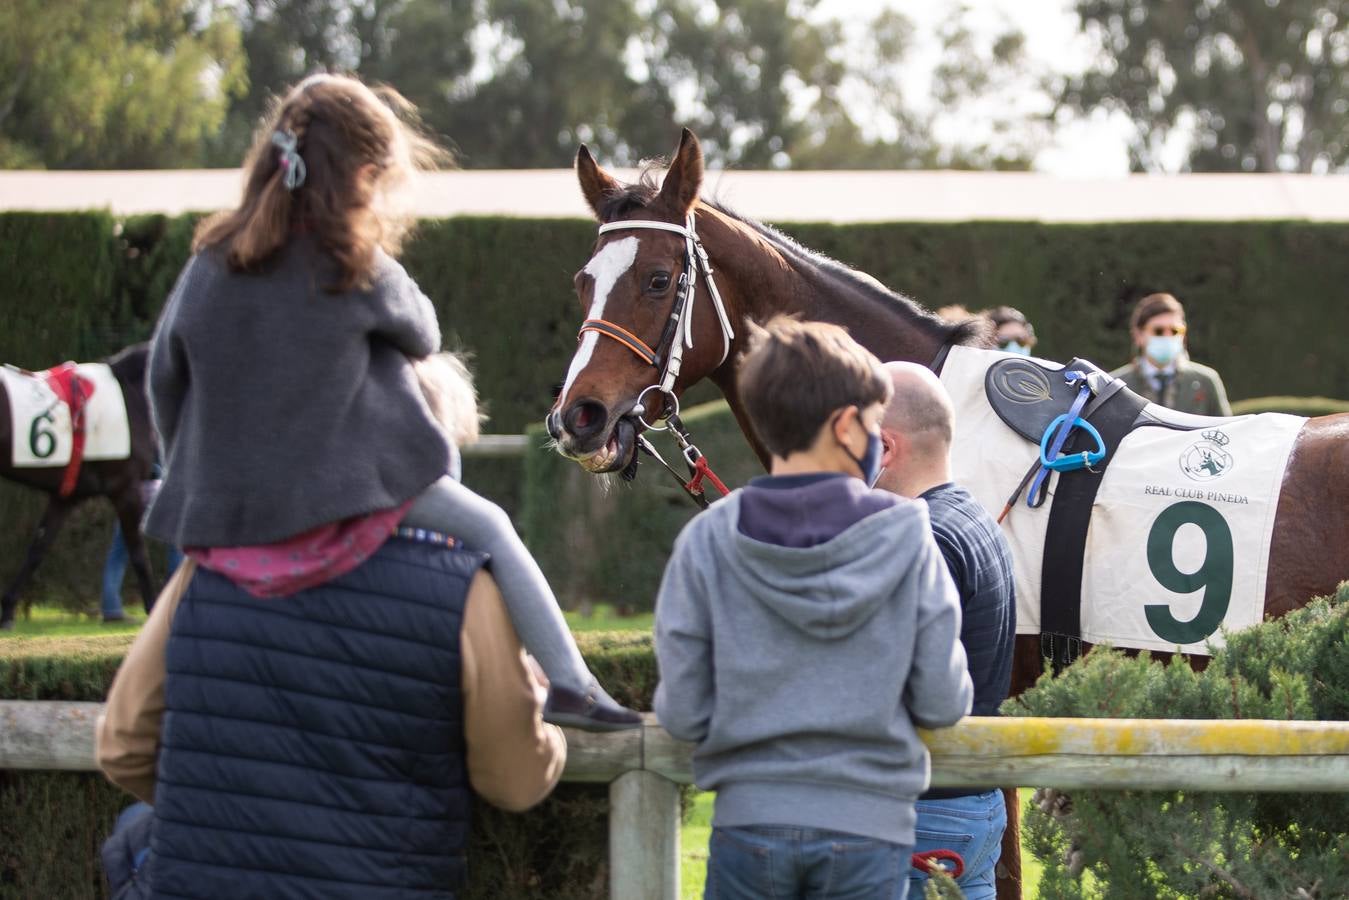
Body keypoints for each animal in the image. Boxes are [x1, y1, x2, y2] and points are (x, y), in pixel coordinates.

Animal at [0, 341, 159, 631]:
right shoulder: (126, 489)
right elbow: (139, 555)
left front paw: (6, 611)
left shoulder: (65, 497)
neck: (130, 395)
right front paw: (154, 610)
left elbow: (37, 550)